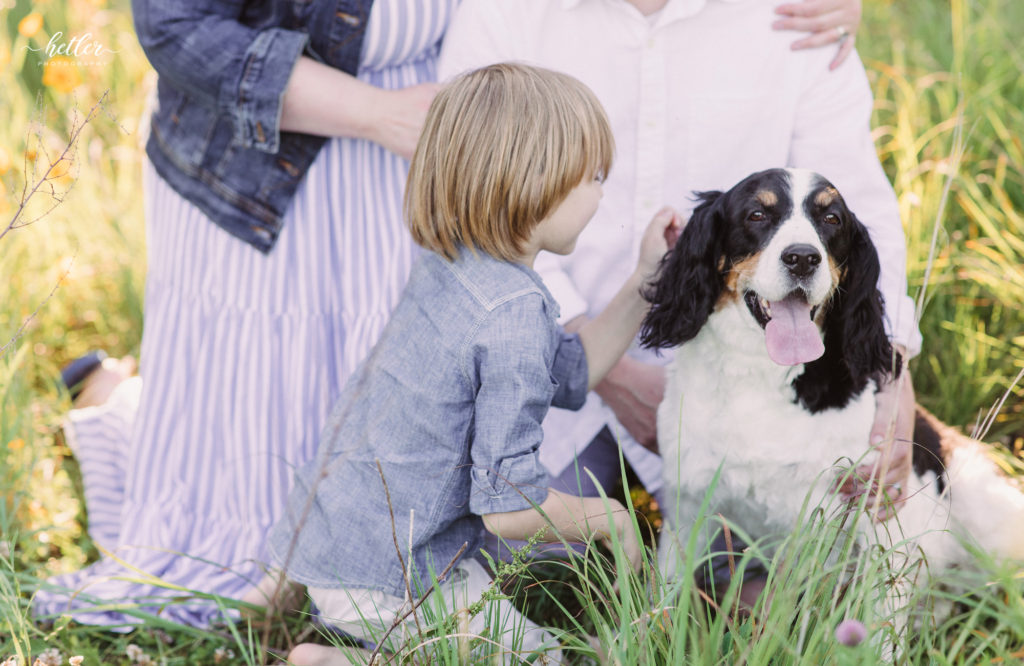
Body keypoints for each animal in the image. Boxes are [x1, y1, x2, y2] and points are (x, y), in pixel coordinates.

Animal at [638, 164, 1024, 622]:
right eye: (756, 214)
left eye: (832, 219)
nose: (803, 258)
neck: (763, 376)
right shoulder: (689, 505)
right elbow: (666, 603)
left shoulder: (876, 515)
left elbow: (878, 624)